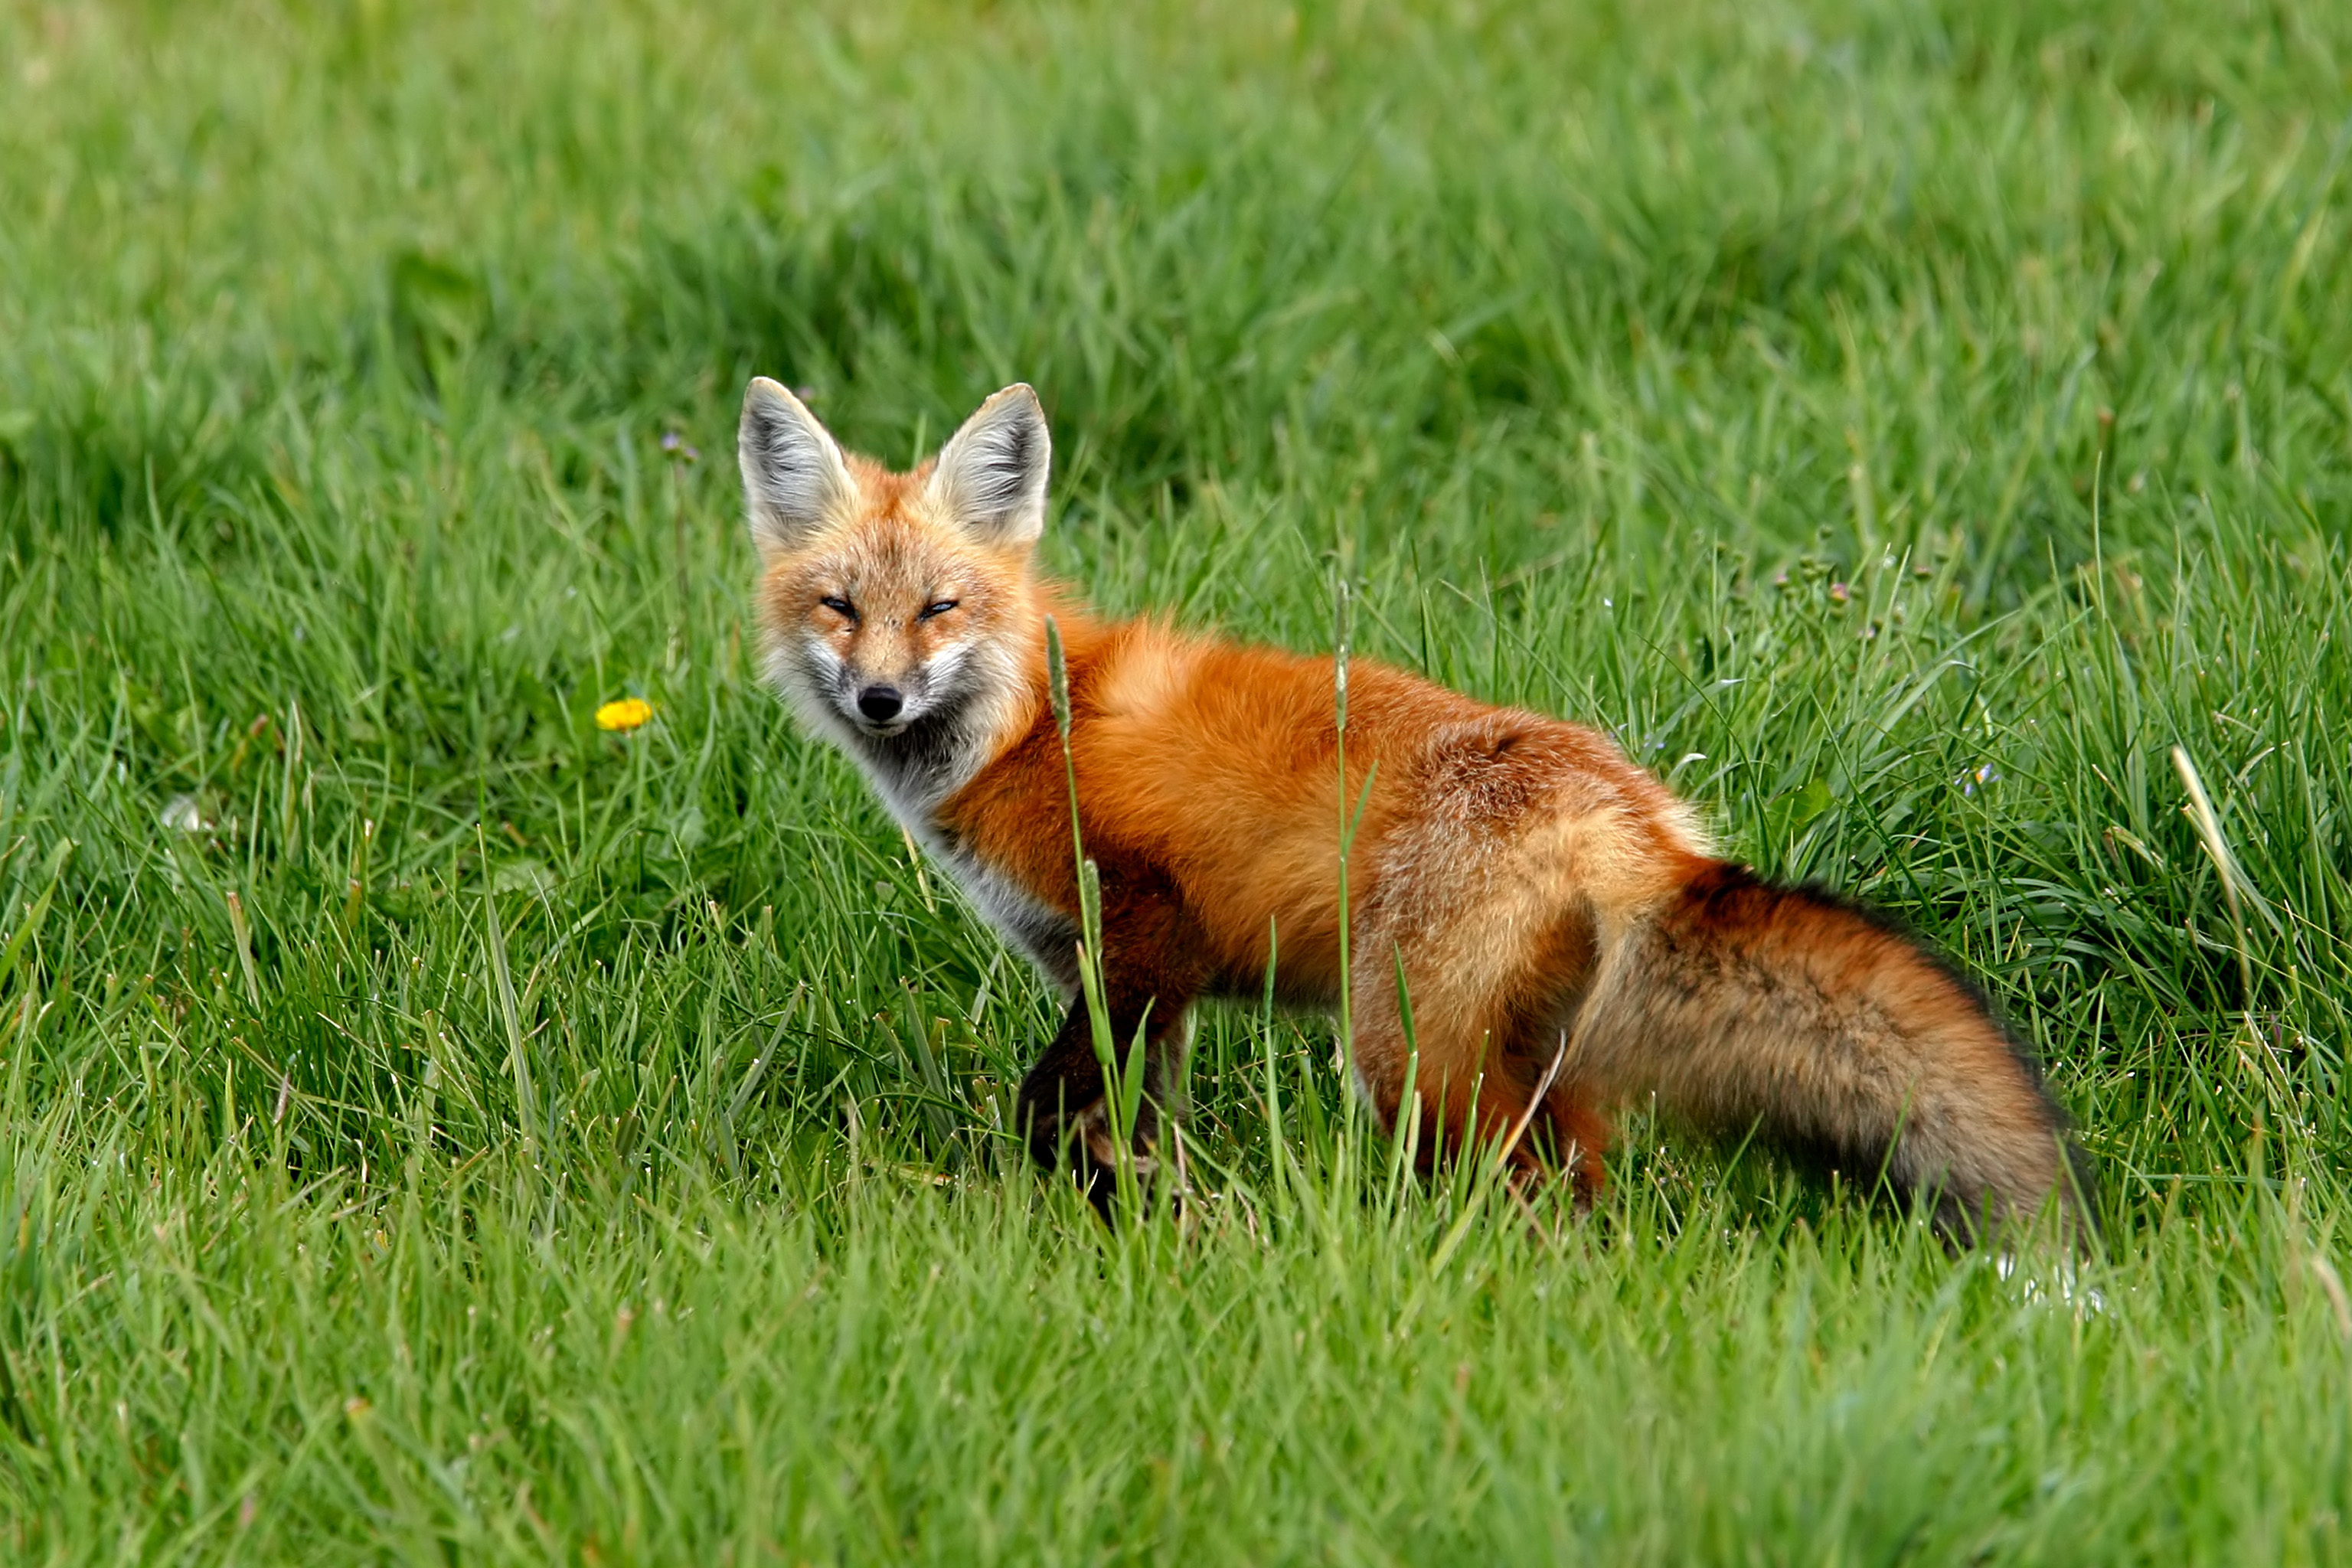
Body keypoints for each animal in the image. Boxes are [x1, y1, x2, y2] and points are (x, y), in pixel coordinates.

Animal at [738, 374, 2098, 1241]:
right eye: (839, 606)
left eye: (941, 609)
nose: (877, 699)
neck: (1029, 724)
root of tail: (1635, 815)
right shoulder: (1136, 988)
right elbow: (1124, 1126)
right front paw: (1145, 1218)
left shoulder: (1141, 937)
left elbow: (1049, 1110)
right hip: (1530, 1060)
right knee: (1594, 1194)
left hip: (1407, 1057)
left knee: (1534, 1201)